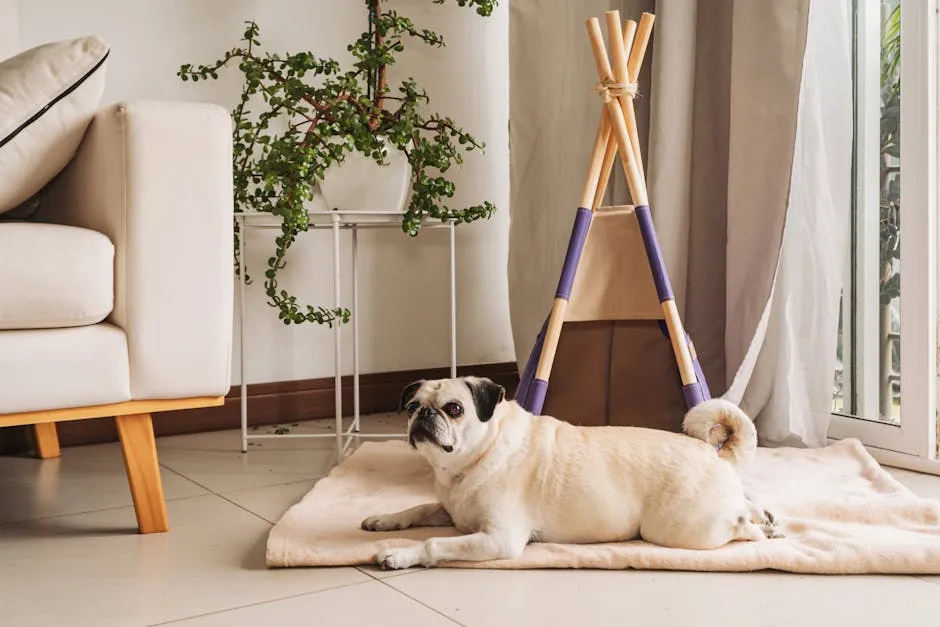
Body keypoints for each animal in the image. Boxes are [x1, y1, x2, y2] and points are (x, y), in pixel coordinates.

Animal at [360, 376, 780, 572]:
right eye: (412, 406)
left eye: (454, 409)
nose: (423, 415)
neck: (470, 463)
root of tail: (713, 454)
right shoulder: (450, 510)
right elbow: (417, 508)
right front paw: (385, 520)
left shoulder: (498, 539)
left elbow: (434, 544)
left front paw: (401, 554)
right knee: (746, 504)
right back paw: (766, 517)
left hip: (677, 529)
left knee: (739, 529)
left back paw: (762, 530)